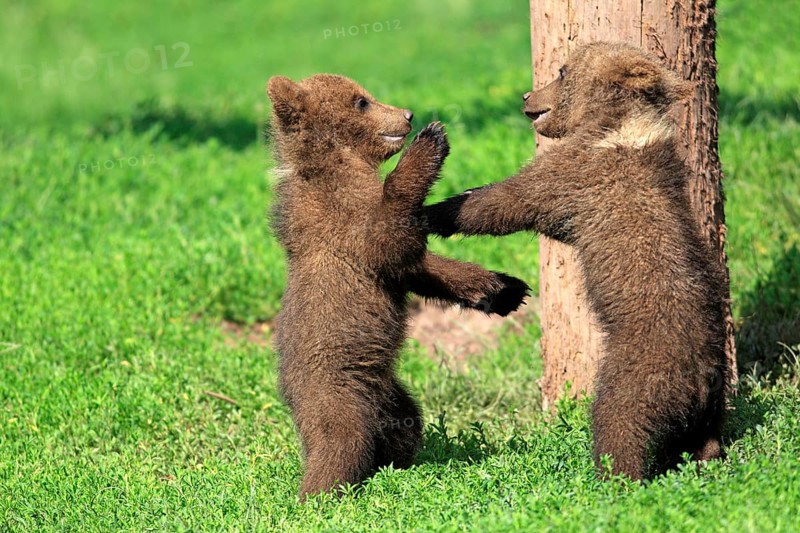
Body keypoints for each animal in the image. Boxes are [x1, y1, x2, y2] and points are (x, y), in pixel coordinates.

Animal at [267, 73, 530, 498]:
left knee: (405, 426)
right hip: (335, 390)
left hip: (392, 396)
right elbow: (390, 241)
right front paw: (432, 140)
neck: (337, 161)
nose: (407, 115)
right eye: (362, 101)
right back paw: (320, 494)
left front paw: (504, 289)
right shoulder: (342, 221)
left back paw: (396, 467)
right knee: (339, 441)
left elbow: (418, 267)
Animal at [423, 42, 729, 480]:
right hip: (711, 402)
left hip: (640, 372)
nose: (527, 96)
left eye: (562, 72)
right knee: (705, 439)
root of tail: (700, 377)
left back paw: (610, 476)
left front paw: (432, 211)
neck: (616, 123)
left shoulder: (574, 174)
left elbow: (503, 202)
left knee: (619, 420)